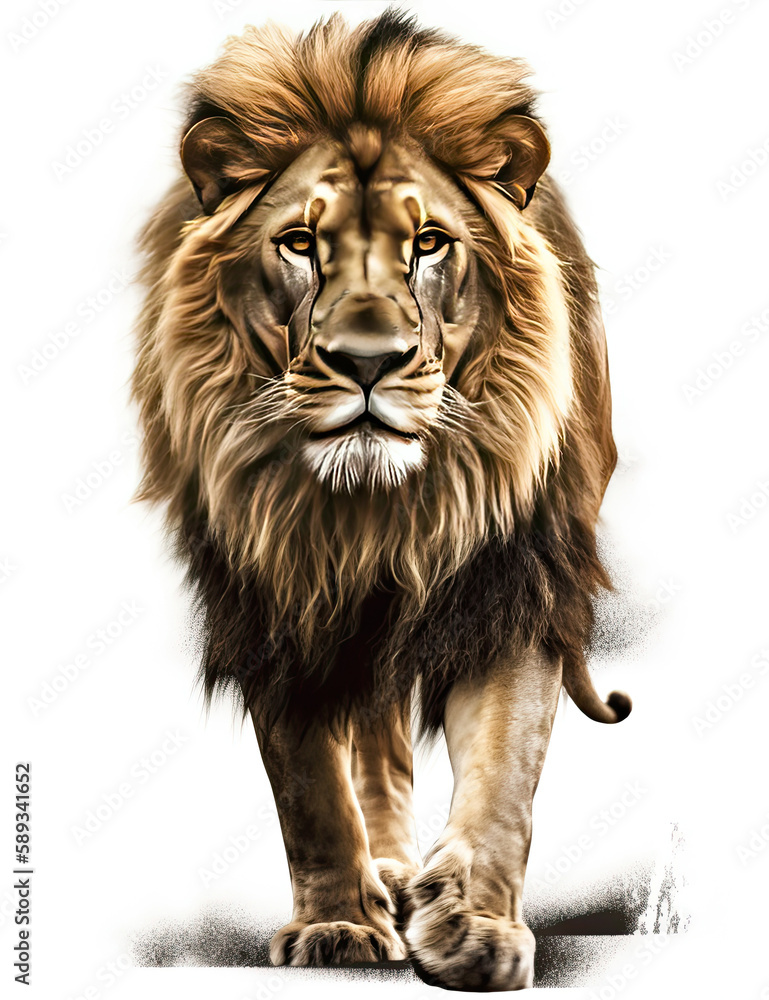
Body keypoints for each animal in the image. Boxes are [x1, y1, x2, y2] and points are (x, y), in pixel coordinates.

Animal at [132, 10, 631, 991]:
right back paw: (388, 876)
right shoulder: (273, 595)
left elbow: (504, 768)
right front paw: (335, 924)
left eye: (429, 242)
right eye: (298, 243)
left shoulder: (513, 580)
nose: (367, 363)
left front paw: (476, 929)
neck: (373, 511)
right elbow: (309, 788)